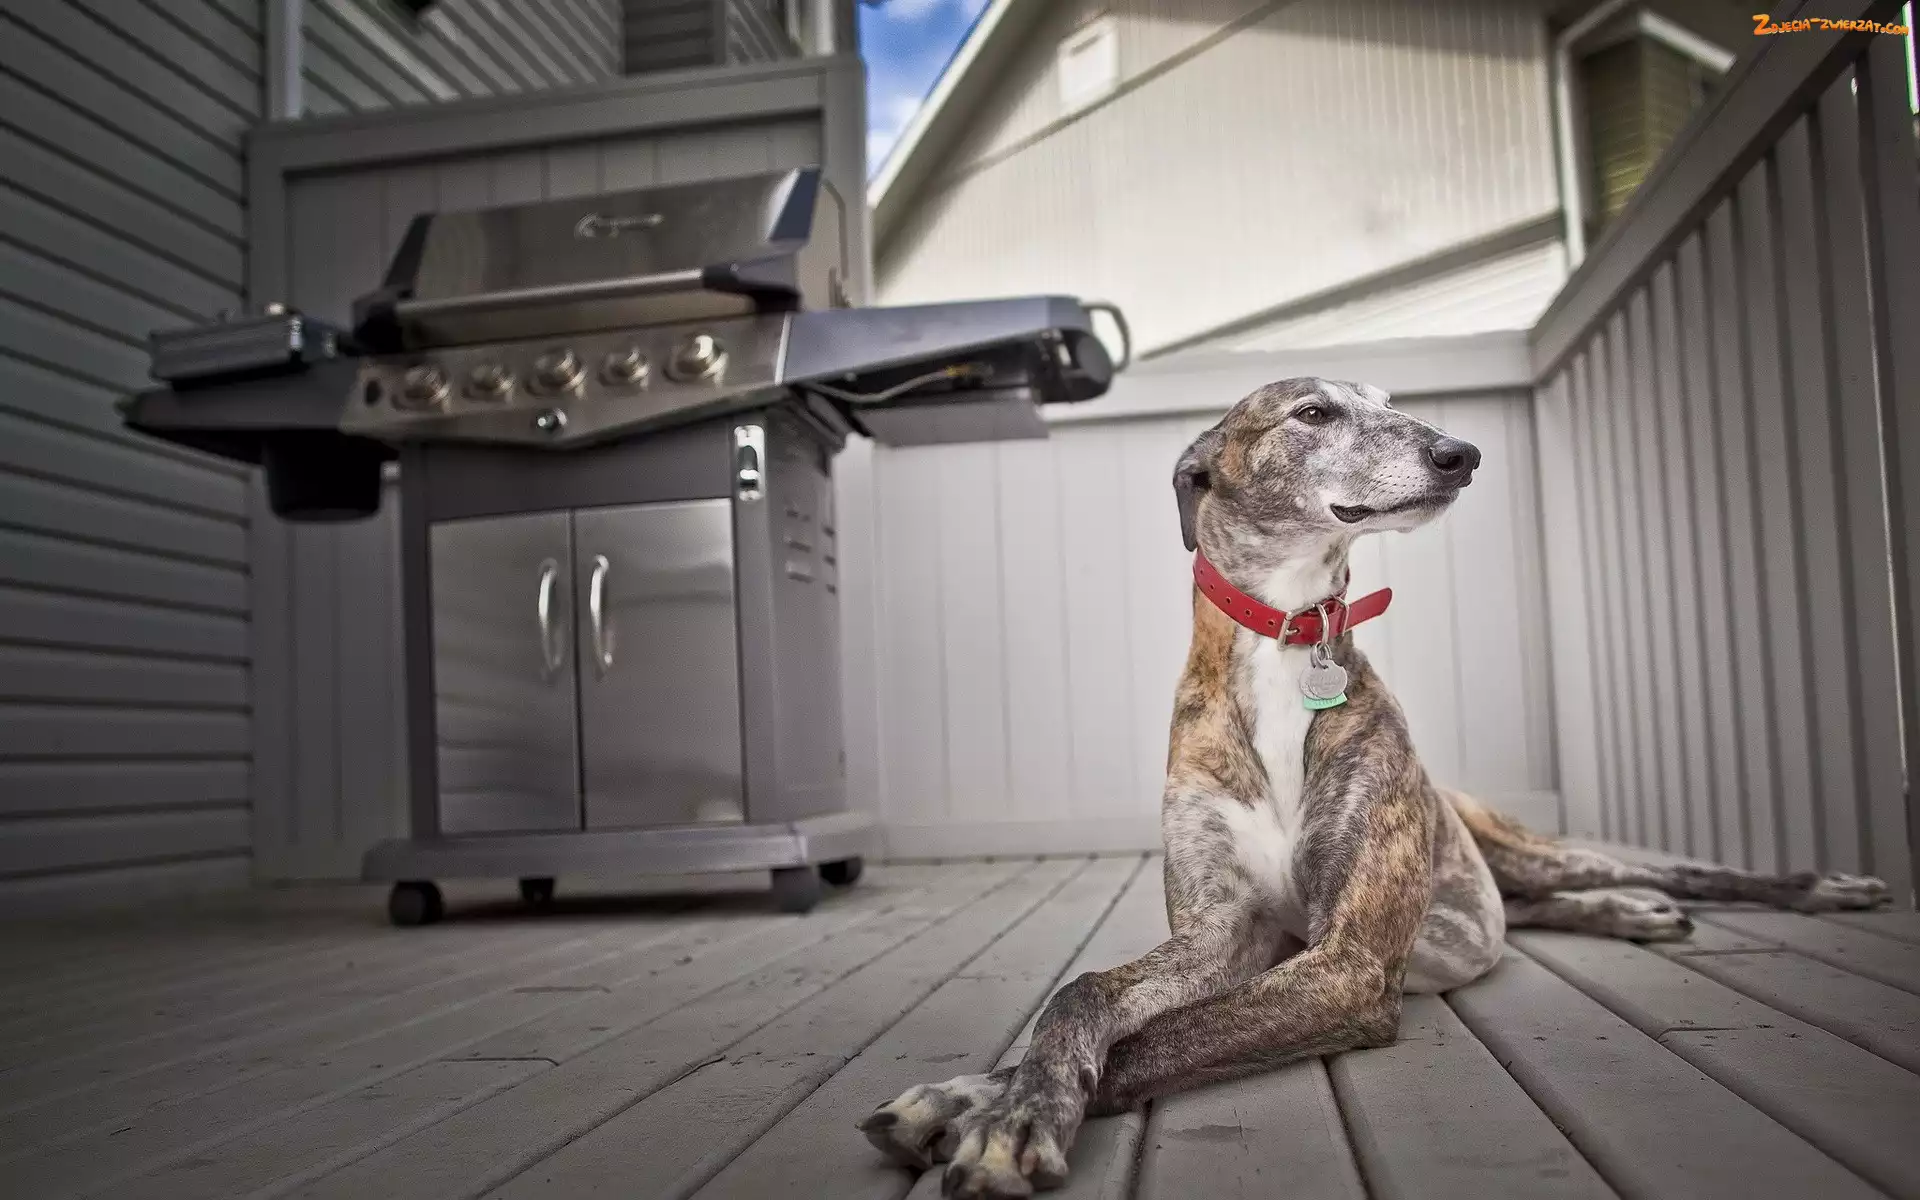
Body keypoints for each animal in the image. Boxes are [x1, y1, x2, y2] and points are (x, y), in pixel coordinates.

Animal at [857, 377, 1890, 1199]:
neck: (1285, 640)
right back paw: (1628, 914)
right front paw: (986, 1094)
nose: (1460, 452)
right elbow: (1084, 995)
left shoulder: (1345, 962)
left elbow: (1152, 1042)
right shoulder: (1221, 935)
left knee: (1674, 871)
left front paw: (993, 1116)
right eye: (1313, 411)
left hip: (1527, 848)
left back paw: (1811, 885)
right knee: (1550, 906)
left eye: (1394, 404)